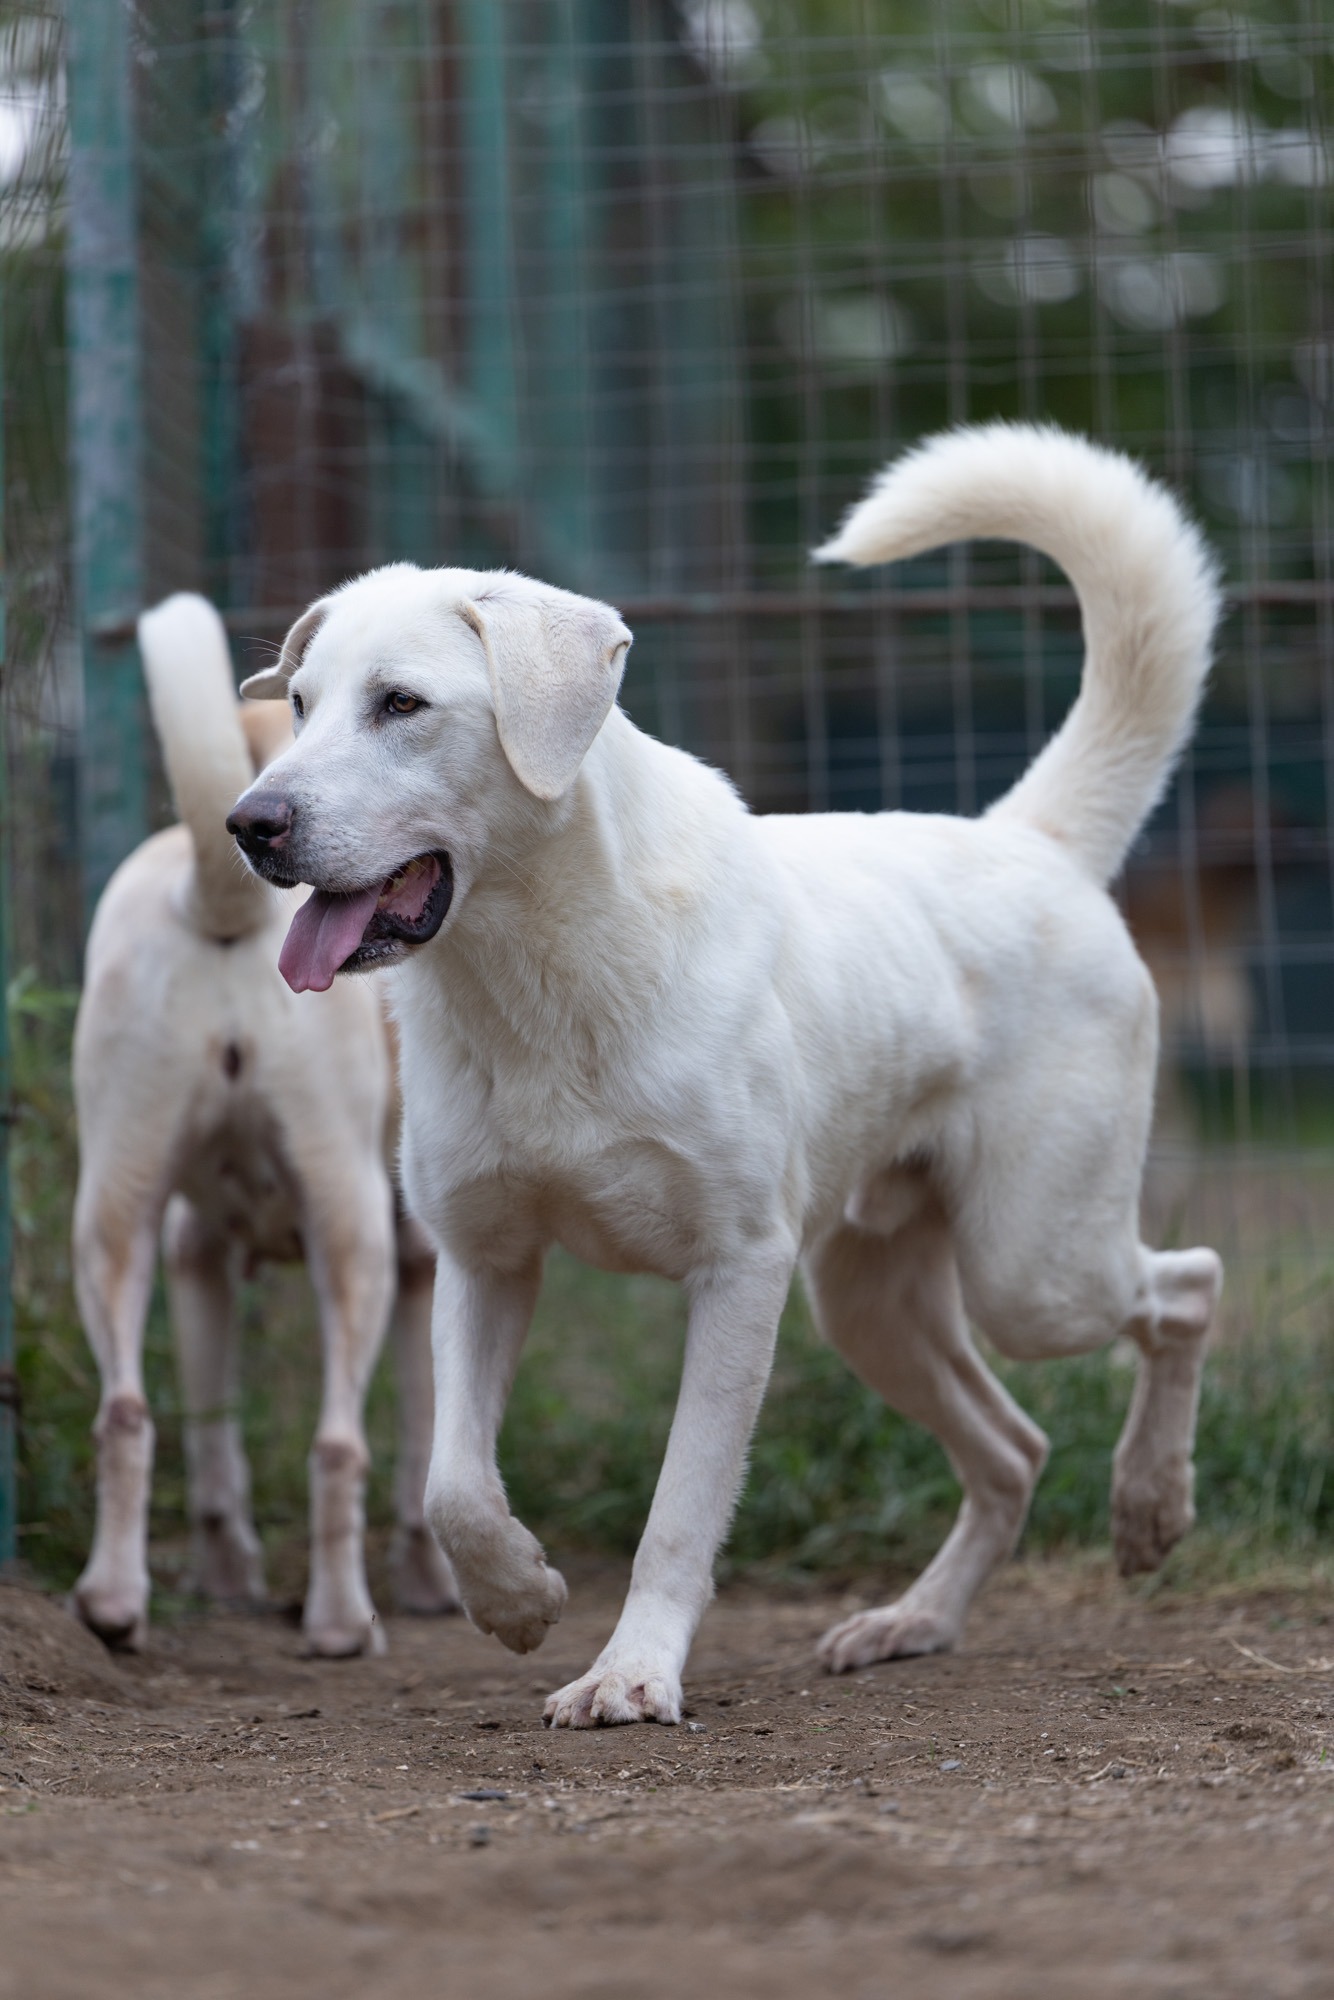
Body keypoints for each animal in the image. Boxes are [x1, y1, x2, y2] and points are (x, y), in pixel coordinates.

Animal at [71, 594, 457, 1653]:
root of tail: (213, 895)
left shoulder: (195, 1259)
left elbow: (213, 1447)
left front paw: (226, 1576)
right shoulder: (422, 1267)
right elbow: (421, 1450)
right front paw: (433, 1583)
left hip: (114, 1206)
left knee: (125, 1413)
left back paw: (114, 1605)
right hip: (351, 1230)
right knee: (337, 1443)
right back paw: (341, 1621)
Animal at [227, 423, 1224, 1726]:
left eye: (401, 704)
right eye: (297, 704)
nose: (251, 822)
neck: (539, 976)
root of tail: (1028, 838)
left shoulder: (738, 1270)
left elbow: (677, 1507)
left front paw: (630, 1671)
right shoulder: (481, 1257)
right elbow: (454, 1483)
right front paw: (519, 1598)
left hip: (1032, 1266)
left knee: (1184, 1286)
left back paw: (1150, 1504)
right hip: (870, 1302)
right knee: (1014, 1448)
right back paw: (913, 1621)